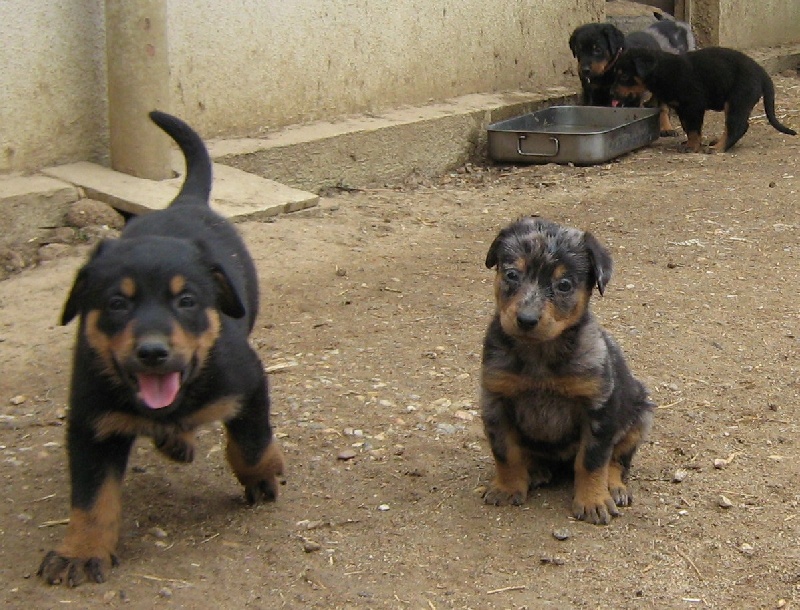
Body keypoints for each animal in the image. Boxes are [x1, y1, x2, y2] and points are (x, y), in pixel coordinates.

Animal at [38, 111, 284, 586]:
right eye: (117, 303)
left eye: (186, 301)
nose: (152, 352)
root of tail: (183, 203)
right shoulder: (91, 421)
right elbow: (92, 497)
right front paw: (80, 551)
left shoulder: (247, 382)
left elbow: (251, 442)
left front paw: (263, 476)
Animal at [480, 217, 654, 525]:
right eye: (512, 274)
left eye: (564, 285)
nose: (526, 320)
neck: (539, 355)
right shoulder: (495, 399)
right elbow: (505, 453)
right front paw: (507, 487)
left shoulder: (598, 407)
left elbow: (592, 460)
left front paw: (593, 500)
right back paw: (535, 469)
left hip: (640, 415)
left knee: (617, 460)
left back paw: (614, 486)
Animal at [611, 46, 798, 152]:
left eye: (624, 76)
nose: (611, 94)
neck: (663, 71)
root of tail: (762, 73)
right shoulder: (682, 108)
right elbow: (688, 128)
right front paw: (690, 143)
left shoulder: (693, 106)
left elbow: (694, 129)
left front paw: (692, 147)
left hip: (737, 100)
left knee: (737, 126)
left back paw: (718, 148)